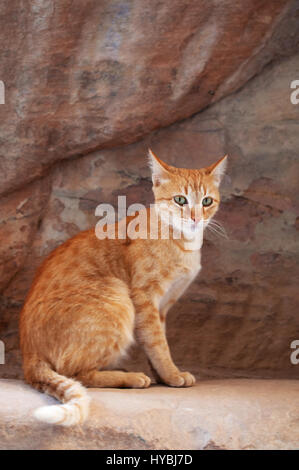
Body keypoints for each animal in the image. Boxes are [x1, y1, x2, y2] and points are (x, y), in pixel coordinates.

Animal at [19, 151, 227, 426]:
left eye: (206, 201)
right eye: (180, 200)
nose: (195, 218)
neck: (183, 243)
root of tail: (28, 354)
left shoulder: (163, 306)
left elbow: (156, 341)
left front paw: (164, 376)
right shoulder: (145, 298)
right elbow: (157, 343)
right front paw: (172, 374)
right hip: (116, 295)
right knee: (75, 372)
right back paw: (130, 378)